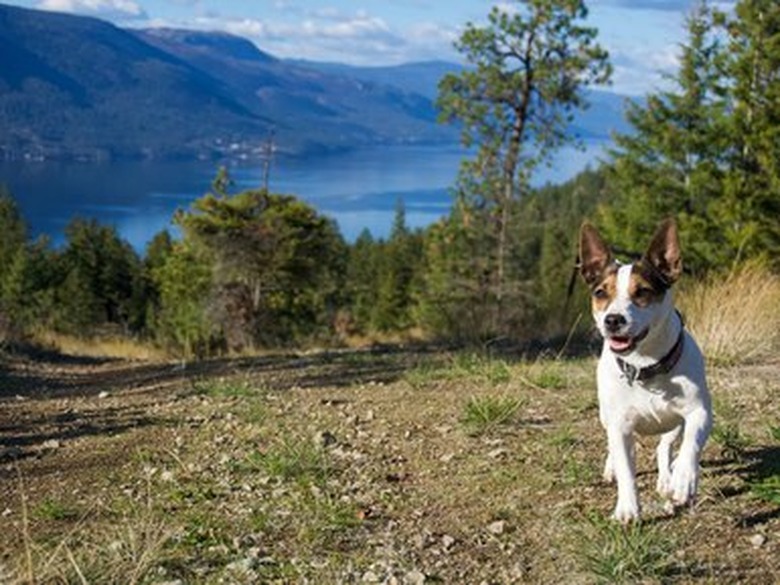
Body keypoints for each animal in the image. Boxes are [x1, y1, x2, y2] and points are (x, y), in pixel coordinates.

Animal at [580, 218, 712, 520]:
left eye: (642, 292)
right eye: (600, 293)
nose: (613, 319)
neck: (645, 366)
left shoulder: (699, 412)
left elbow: (691, 444)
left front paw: (684, 479)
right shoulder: (619, 426)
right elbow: (626, 470)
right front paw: (628, 508)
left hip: (672, 422)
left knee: (666, 446)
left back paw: (668, 477)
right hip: (605, 415)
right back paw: (611, 468)